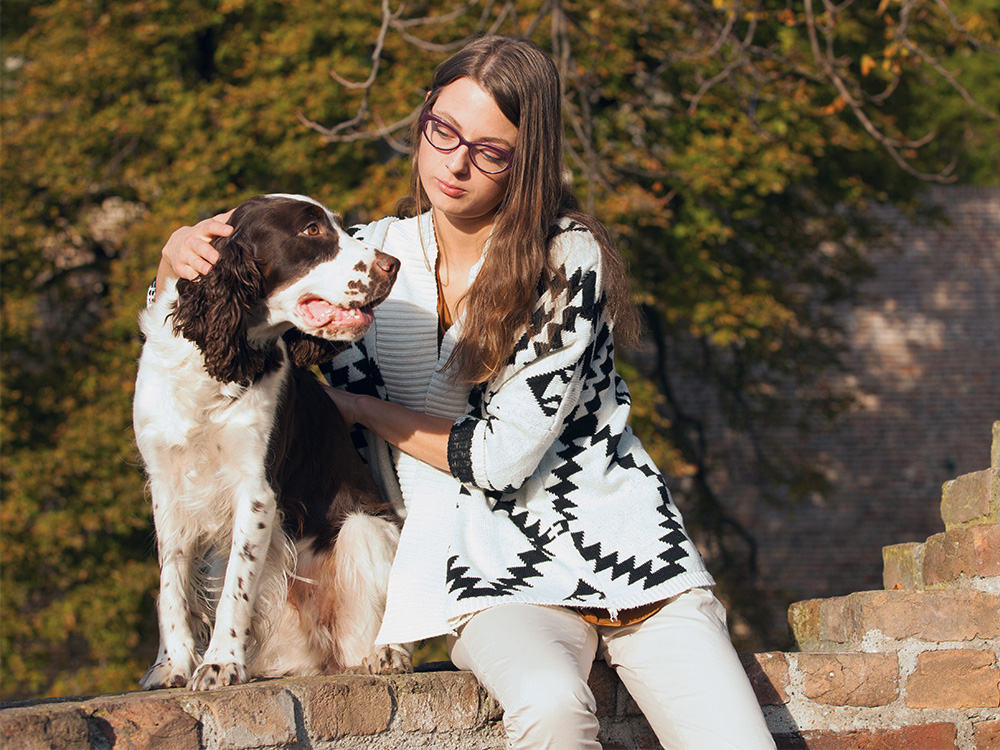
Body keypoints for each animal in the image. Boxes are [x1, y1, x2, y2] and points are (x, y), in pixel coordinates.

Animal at [133, 195, 406, 692]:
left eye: (341, 226)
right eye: (312, 230)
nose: (391, 264)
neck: (217, 365)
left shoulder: (256, 489)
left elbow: (236, 589)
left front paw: (220, 662)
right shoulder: (166, 485)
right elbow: (171, 584)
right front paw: (172, 665)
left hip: (365, 526)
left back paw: (387, 651)